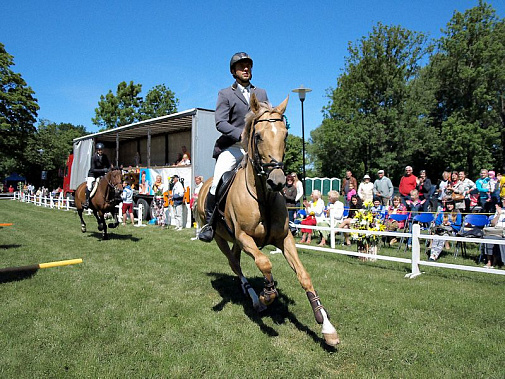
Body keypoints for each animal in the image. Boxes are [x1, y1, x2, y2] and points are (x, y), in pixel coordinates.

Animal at [197, 94, 338, 348]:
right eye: (258, 136)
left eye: (285, 135)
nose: (278, 181)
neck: (262, 195)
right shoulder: (245, 237)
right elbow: (265, 263)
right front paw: (267, 295)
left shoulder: (284, 239)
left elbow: (304, 276)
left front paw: (326, 326)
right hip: (221, 238)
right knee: (234, 264)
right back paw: (255, 298)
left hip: (235, 241)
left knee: (236, 260)